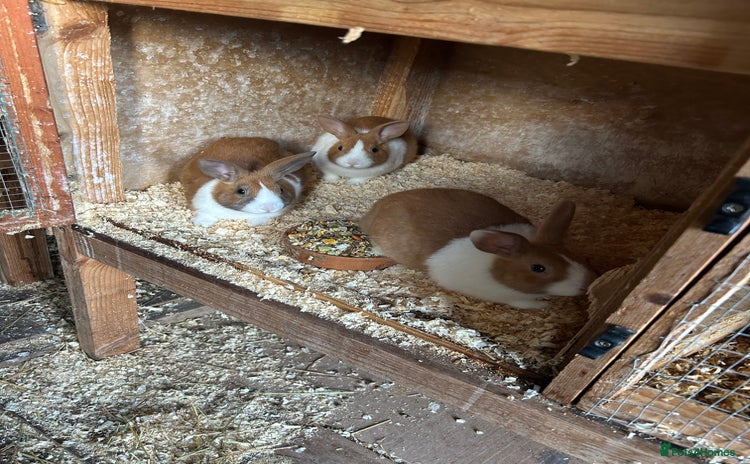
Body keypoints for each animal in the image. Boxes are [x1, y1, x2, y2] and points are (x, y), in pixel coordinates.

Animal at [180, 137, 315, 227]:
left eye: (280, 189)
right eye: (241, 191)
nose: (269, 207)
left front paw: (257, 223)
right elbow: (204, 214)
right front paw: (202, 223)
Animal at [359, 188, 597, 309]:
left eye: (570, 253)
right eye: (539, 268)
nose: (587, 283)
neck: (495, 264)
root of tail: (373, 213)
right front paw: (543, 306)